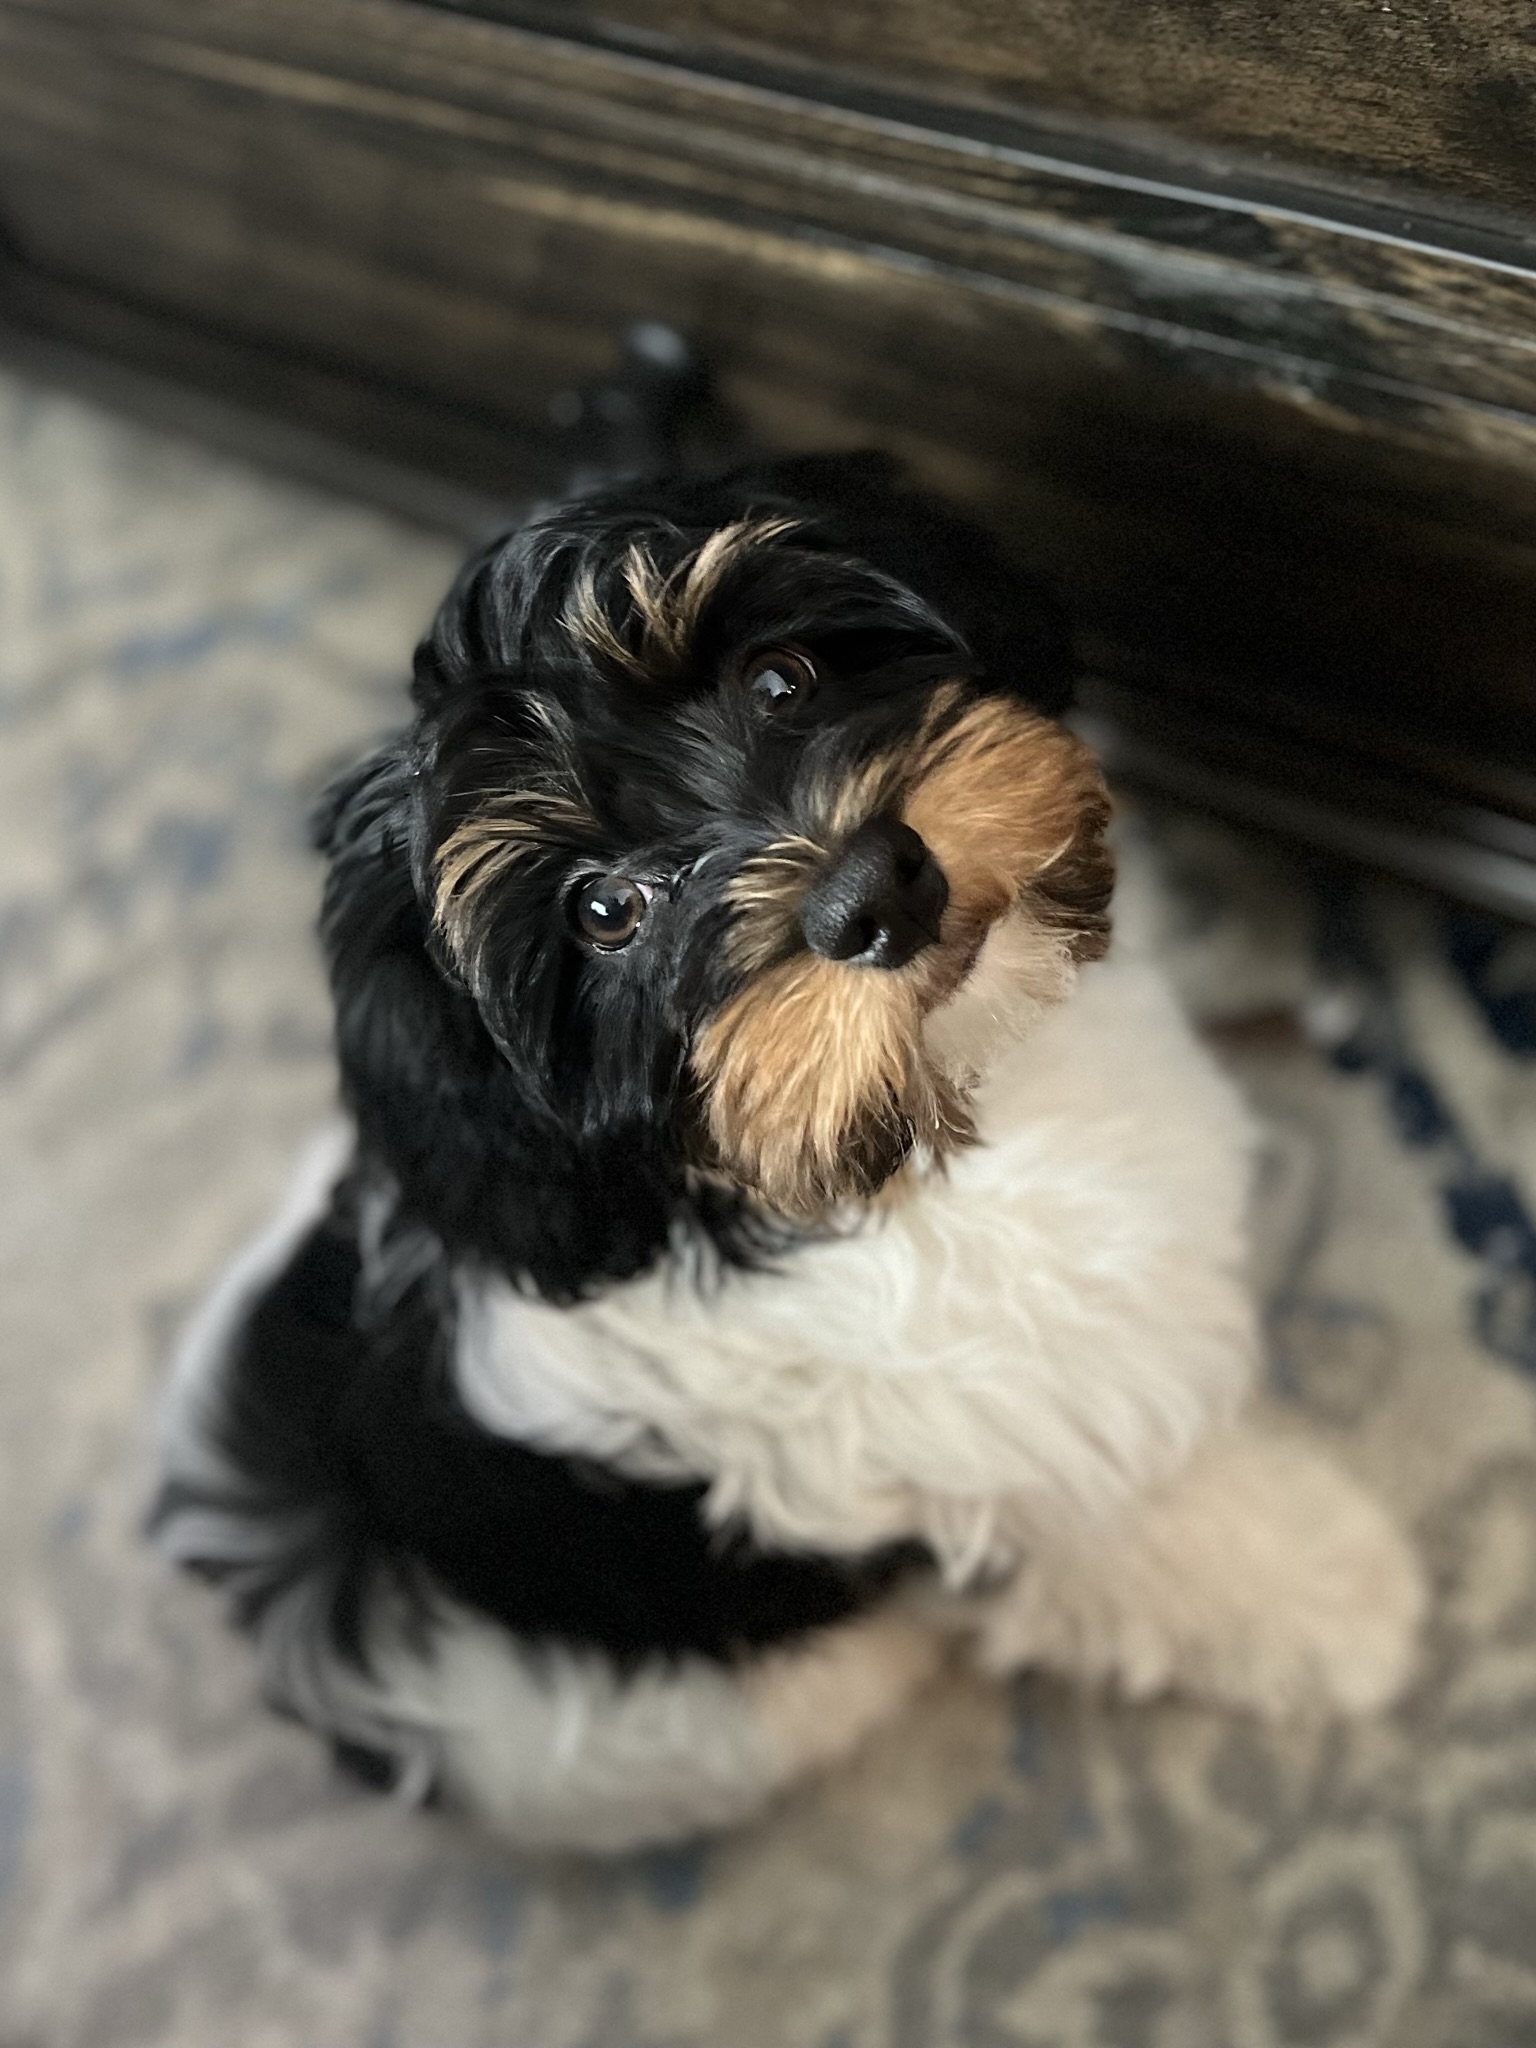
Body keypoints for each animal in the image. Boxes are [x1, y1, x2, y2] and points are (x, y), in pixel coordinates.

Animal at [152, 452, 1425, 1851]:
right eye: (604, 909)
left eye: (781, 679)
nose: (877, 890)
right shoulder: (998, 1456)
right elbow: (1150, 1528)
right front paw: (1343, 1597)